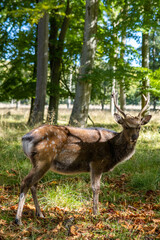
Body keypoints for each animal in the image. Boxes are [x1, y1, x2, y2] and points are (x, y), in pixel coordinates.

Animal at [14, 94, 151, 225]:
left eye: (139, 126)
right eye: (126, 126)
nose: (134, 137)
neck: (112, 149)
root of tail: (25, 138)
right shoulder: (97, 163)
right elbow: (96, 188)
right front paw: (96, 213)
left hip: (37, 162)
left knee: (33, 184)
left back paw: (40, 214)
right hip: (44, 159)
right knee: (26, 182)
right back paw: (18, 220)